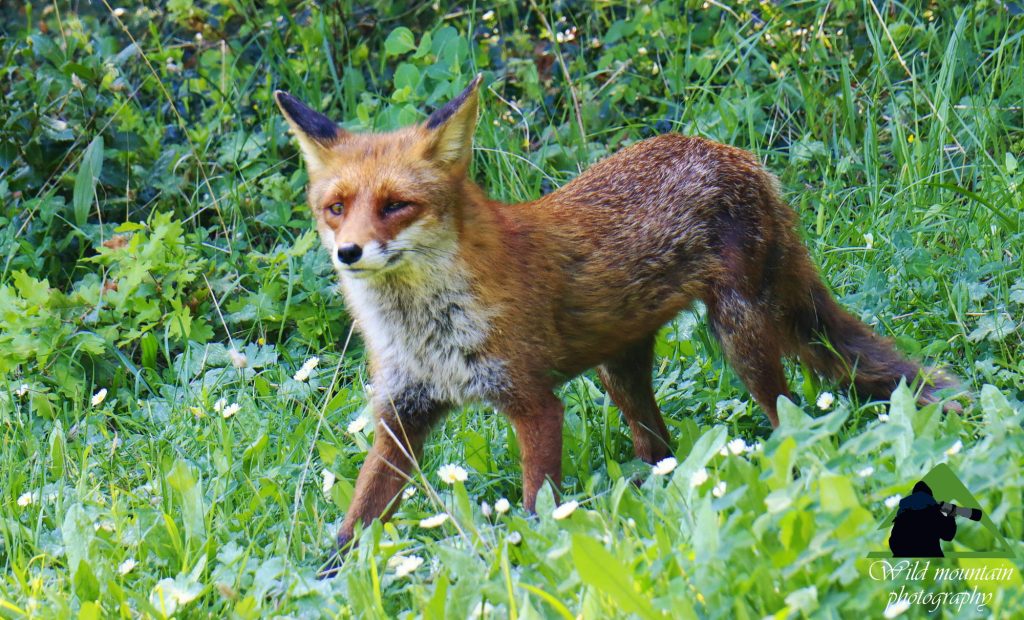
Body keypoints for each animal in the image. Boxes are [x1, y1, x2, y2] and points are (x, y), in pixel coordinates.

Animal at [274, 73, 958, 569]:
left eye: (396, 206)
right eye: (336, 208)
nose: (348, 252)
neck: (424, 334)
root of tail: (731, 152)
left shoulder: (534, 404)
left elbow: (536, 508)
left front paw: (533, 563)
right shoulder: (402, 414)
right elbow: (356, 521)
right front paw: (324, 581)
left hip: (740, 337)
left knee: (787, 413)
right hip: (619, 372)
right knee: (659, 447)